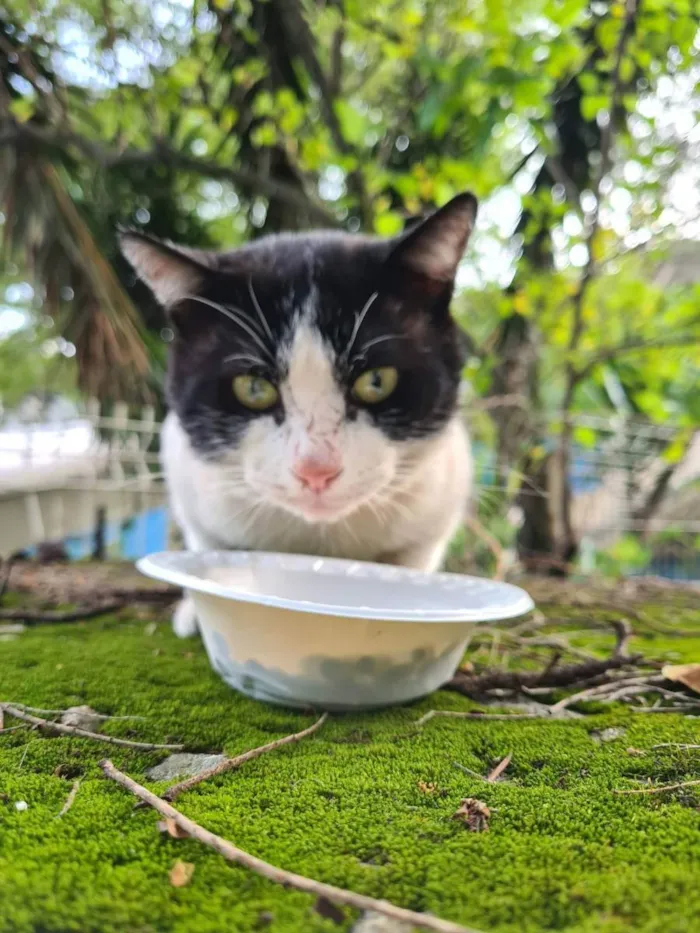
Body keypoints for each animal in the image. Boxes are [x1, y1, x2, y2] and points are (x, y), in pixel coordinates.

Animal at [123, 193, 478, 636]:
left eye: (377, 381)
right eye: (253, 388)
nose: (316, 469)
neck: (317, 542)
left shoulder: (440, 501)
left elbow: (413, 560)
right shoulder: (188, 482)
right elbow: (208, 547)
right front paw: (199, 609)